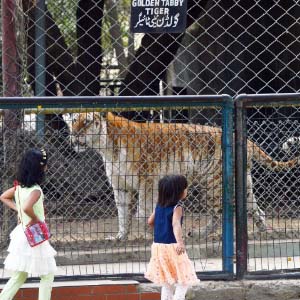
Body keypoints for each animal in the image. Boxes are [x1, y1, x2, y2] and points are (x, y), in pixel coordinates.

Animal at [71, 111, 298, 240]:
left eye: (87, 122)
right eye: (73, 121)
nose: (73, 135)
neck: (107, 148)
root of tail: (246, 141)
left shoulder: (147, 181)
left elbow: (143, 211)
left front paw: (148, 232)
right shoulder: (121, 186)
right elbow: (122, 214)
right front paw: (120, 236)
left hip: (213, 184)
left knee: (220, 214)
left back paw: (198, 233)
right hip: (242, 184)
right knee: (256, 210)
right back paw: (263, 231)